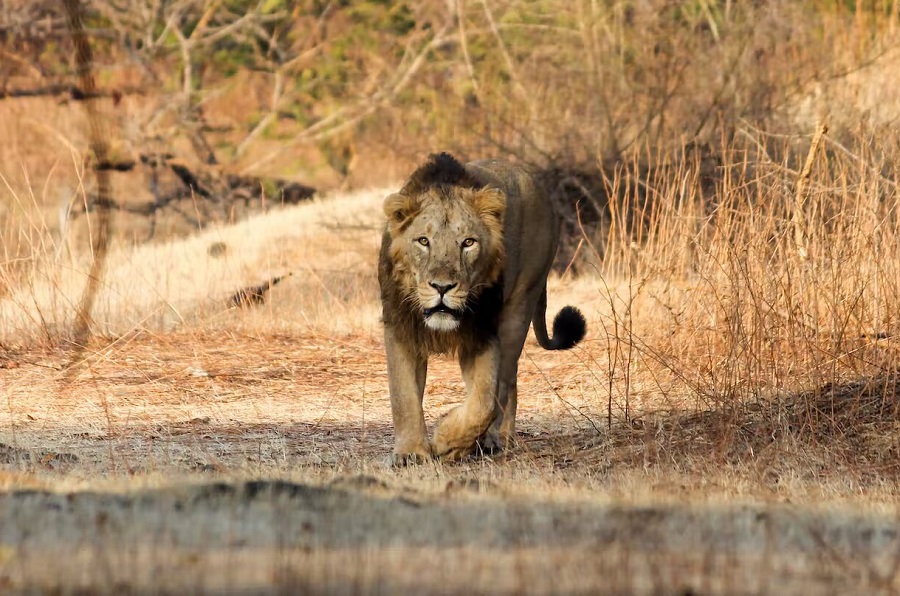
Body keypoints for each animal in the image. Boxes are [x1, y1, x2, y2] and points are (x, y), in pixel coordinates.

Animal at [378, 151, 584, 464]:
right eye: (423, 241)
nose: (442, 287)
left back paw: (495, 438)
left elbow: (485, 400)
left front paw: (448, 442)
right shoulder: (400, 325)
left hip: (520, 307)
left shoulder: (483, 331)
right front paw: (411, 452)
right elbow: (403, 395)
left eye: (468, 243)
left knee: (506, 382)